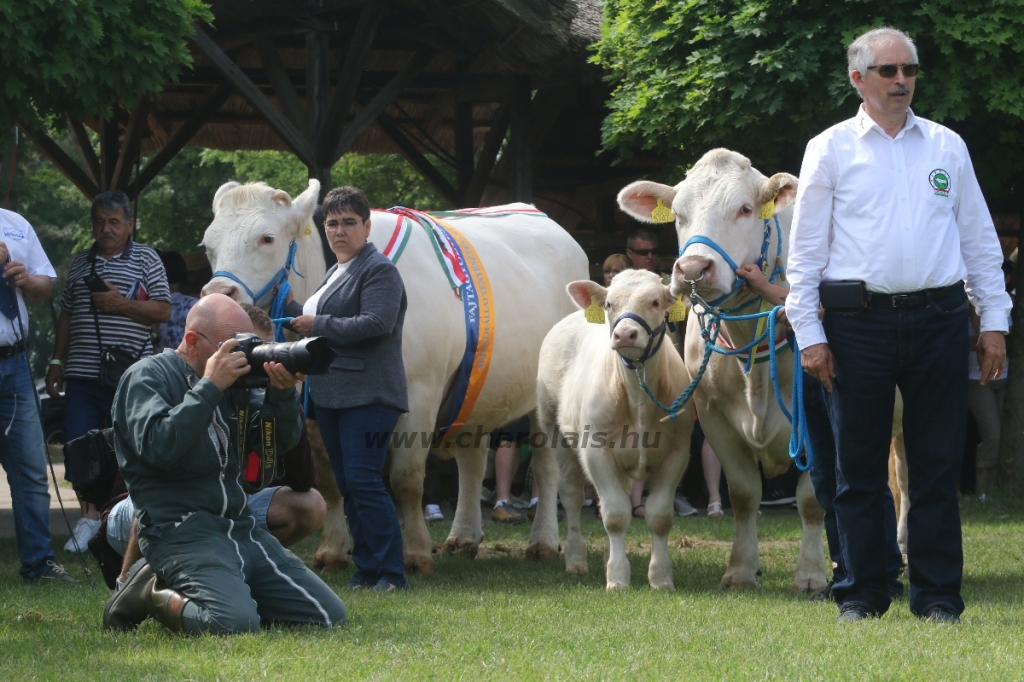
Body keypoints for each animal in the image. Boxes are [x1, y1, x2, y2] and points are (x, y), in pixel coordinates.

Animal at [199, 179, 589, 569]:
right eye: (207, 245)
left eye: (267, 238)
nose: (219, 293)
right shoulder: (313, 410)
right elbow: (330, 482)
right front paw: (333, 550)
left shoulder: (420, 393)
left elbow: (406, 479)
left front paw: (414, 552)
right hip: (475, 389)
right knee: (473, 460)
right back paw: (464, 536)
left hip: (541, 399)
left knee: (545, 465)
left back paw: (543, 542)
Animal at [536, 268, 696, 585]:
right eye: (609, 304)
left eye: (656, 302)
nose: (625, 334)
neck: (638, 399)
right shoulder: (595, 451)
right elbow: (615, 514)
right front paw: (618, 577)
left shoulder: (677, 453)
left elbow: (659, 516)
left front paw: (660, 577)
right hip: (554, 430)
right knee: (572, 496)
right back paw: (576, 560)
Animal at [614, 147, 823, 589]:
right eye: (678, 214)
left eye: (745, 209)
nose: (693, 269)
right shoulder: (713, 416)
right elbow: (743, 494)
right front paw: (741, 569)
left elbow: (813, 499)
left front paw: (811, 574)